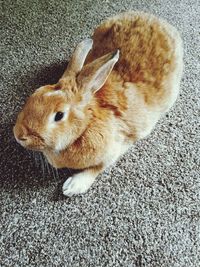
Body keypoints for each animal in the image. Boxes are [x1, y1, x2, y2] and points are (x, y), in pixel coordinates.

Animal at [13, 11, 183, 197]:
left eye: (59, 115)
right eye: (36, 93)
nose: (18, 135)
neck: (87, 123)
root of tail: (156, 20)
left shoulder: (116, 148)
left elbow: (98, 168)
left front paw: (72, 186)